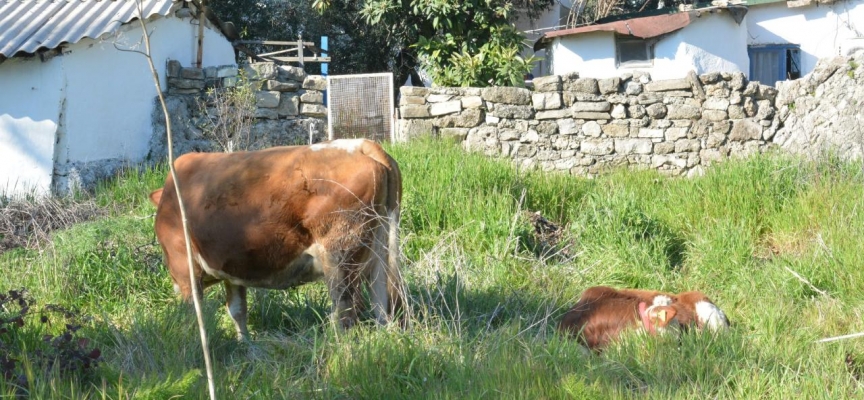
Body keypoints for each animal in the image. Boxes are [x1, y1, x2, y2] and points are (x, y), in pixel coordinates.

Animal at [149, 139, 404, 340]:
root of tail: (361, 144)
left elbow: (195, 313)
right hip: (379, 254)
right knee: (382, 308)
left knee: (346, 310)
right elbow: (237, 310)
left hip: (339, 257)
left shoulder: (184, 269)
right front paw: (245, 344)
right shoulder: (233, 269)